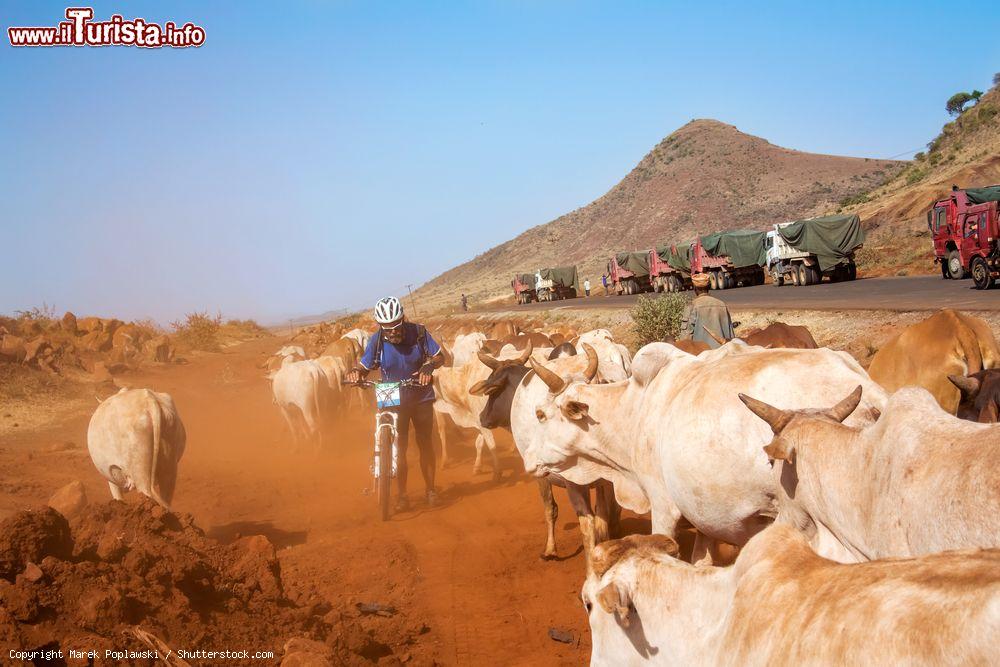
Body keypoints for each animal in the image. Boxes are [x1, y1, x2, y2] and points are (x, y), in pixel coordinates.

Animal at [516, 342, 884, 560]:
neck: (636, 410)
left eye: (540, 414)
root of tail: (874, 399)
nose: (528, 461)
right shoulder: (704, 516)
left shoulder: (663, 505)